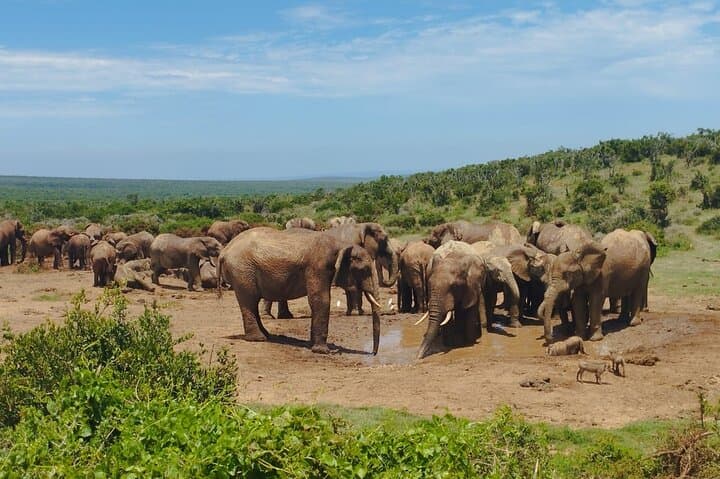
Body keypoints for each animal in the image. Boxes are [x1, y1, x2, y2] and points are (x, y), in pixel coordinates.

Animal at [217, 227, 383, 354]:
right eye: (364, 270)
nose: (373, 353)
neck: (342, 245)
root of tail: (224, 251)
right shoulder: (318, 266)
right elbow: (320, 300)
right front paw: (324, 351)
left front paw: (313, 346)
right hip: (242, 270)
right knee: (249, 301)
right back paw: (258, 339)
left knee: (252, 302)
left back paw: (267, 336)